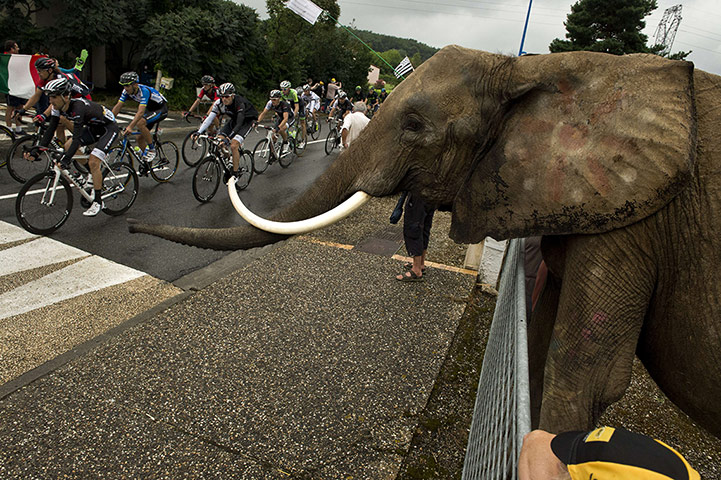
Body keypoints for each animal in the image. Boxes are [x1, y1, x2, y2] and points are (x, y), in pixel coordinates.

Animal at [129, 46, 721, 438]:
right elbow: (540, 334)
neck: (531, 68)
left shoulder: (638, 216)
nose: (131, 229)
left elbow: (587, 377)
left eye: (414, 124)